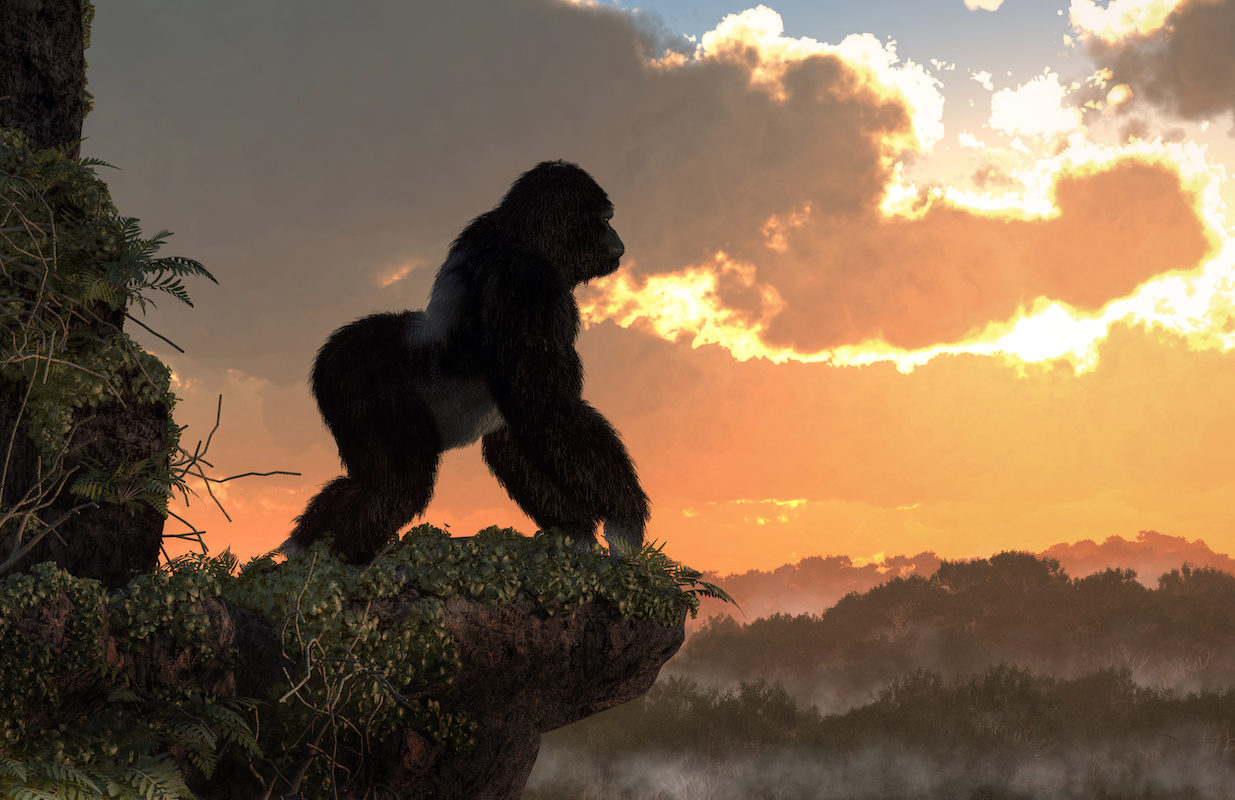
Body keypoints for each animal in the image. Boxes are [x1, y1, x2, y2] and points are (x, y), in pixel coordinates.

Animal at [283, 160, 650, 564]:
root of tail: (331, 353)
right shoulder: (528, 285)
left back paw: (304, 545)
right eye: (605, 219)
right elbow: (547, 408)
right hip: (358, 383)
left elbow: (519, 431)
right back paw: (349, 558)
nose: (618, 237)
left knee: (369, 481)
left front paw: (575, 532)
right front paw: (625, 514)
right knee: (396, 486)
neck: (525, 237)